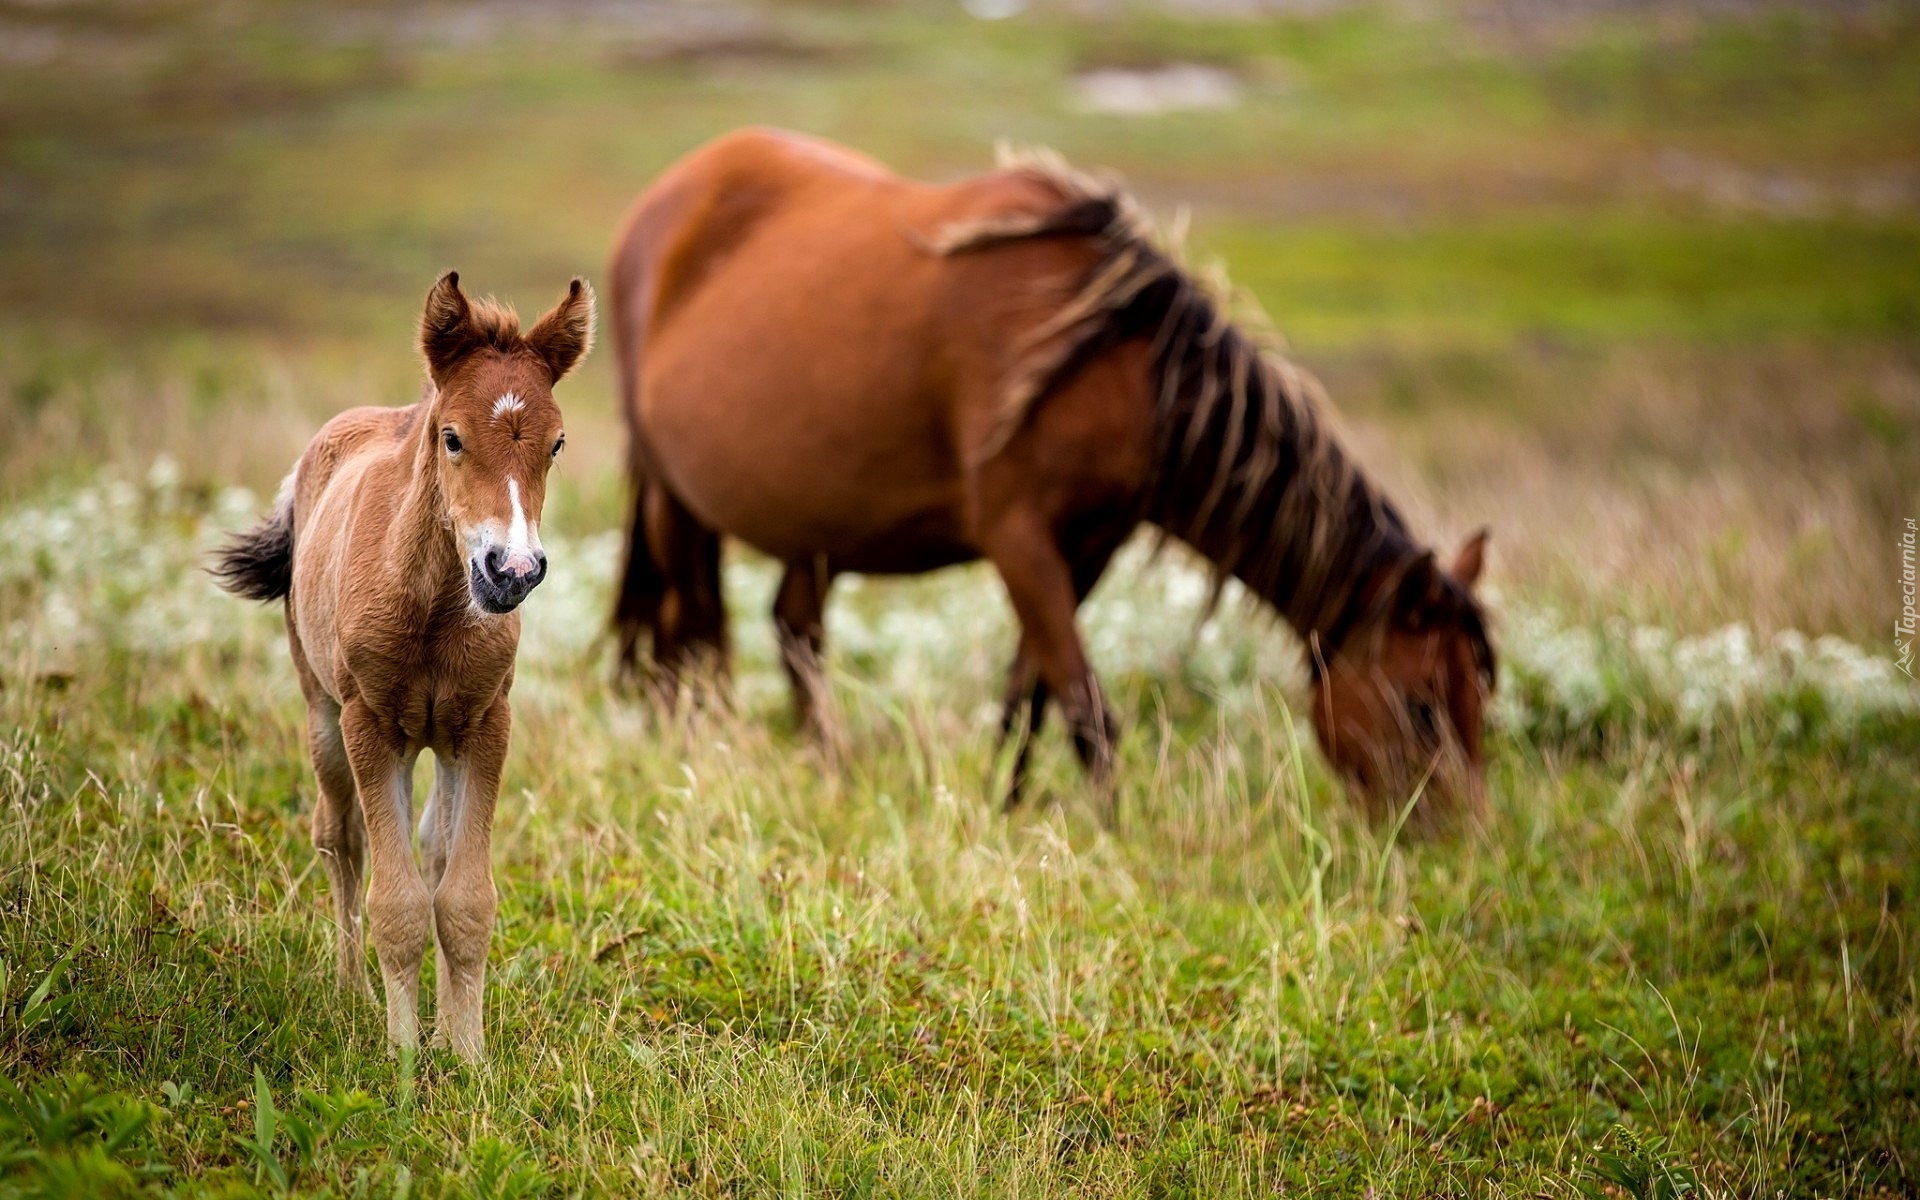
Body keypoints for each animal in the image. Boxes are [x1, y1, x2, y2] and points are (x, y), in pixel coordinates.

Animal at [606, 130, 1489, 817]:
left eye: (1482, 702)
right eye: (1421, 708)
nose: (1458, 845)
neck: (1119, 368)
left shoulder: (1087, 548)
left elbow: (1027, 697)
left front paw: (1006, 807)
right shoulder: (1018, 540)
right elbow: (1085, 706)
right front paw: (1113, 835)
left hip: (817, 526)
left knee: (794, 633)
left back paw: (831, 769)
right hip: (674, 501)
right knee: (691, 639)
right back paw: (707, 753)